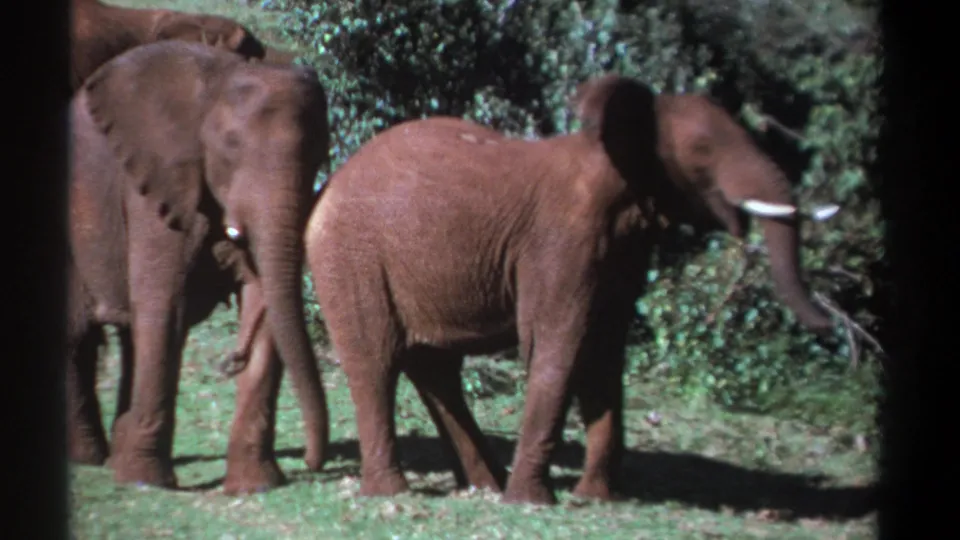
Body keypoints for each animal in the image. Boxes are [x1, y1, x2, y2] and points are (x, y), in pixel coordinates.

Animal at [67, 39, 330, 495]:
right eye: (230, 147)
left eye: (320, 153)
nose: (315, 463)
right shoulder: (156, 187)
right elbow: (164, 305)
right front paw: (146, 481)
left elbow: (262, 305)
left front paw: (256, 485)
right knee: (73, 334)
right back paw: (89, 458)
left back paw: (110, 454)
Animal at [302, 74, 837, 505]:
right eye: (704, 150)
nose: (830, 325)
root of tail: (328, 186)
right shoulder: (562, 241)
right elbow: (560, 344)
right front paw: (533, 503)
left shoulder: (620, 249)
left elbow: (604, 354)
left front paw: (596, 498)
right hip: (350, 257)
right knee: (376, 363)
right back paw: (394, 492)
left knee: (435, 369)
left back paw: (484, 486)